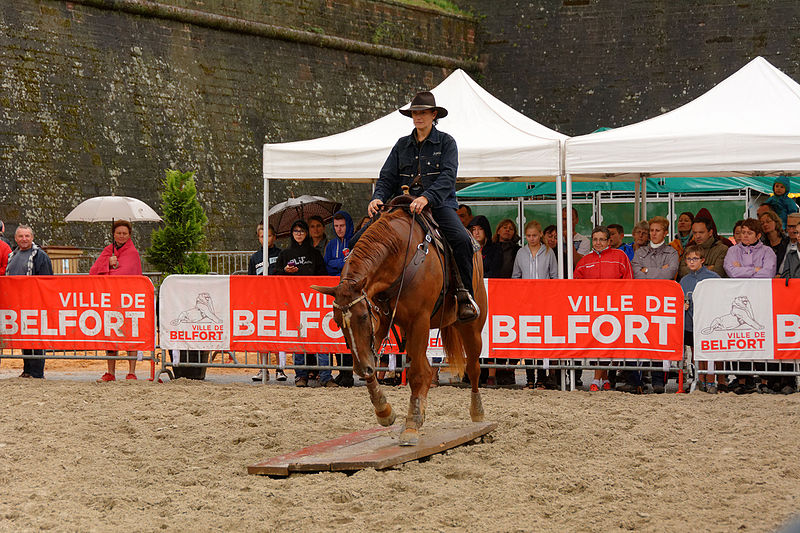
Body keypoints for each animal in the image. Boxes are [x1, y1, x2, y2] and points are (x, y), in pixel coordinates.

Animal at [310, 200, 488, 444]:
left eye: (362, 316)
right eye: (337, 322)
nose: (359, 368)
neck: (400, 253)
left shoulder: (419, 320)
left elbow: (416, 374)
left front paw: (411, 424)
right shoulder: (383, 320)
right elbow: (375, 364)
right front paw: (384, 411)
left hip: (470, 326)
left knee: (473, 367)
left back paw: (477, 412)